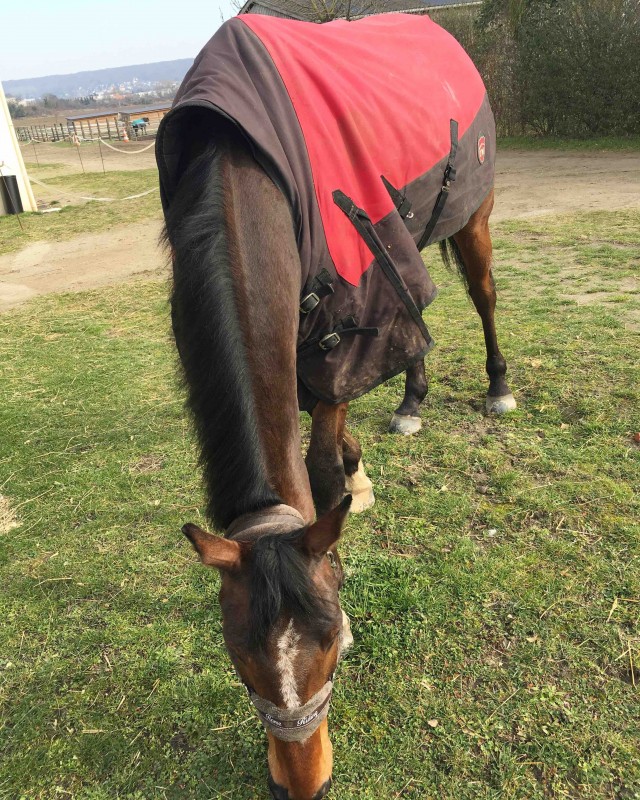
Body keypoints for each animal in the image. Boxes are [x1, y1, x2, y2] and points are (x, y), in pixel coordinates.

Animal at [158, 13, 515, 800]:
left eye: (330, 644)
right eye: (238, 660)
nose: (303, 784)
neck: (244, 164)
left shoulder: (343, 322)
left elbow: (321, 457)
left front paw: (346, 483)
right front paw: (360, 468)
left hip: (469, 211)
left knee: (479, 293)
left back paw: (498, 386)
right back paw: (411, 398)